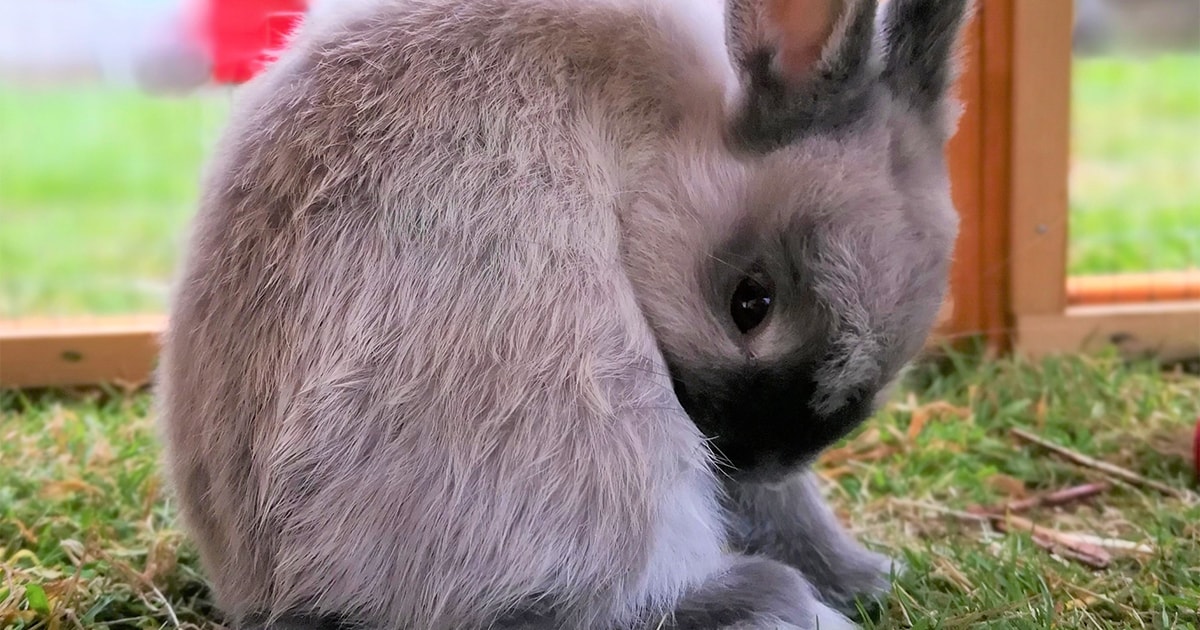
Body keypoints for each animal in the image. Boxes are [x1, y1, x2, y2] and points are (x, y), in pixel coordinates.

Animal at [156, 0, 969, 628]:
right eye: (750, 303)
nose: (751, 458)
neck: (668, 128)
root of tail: (273, 583)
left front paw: (871, 573)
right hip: (608, 432)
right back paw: (782, 603)